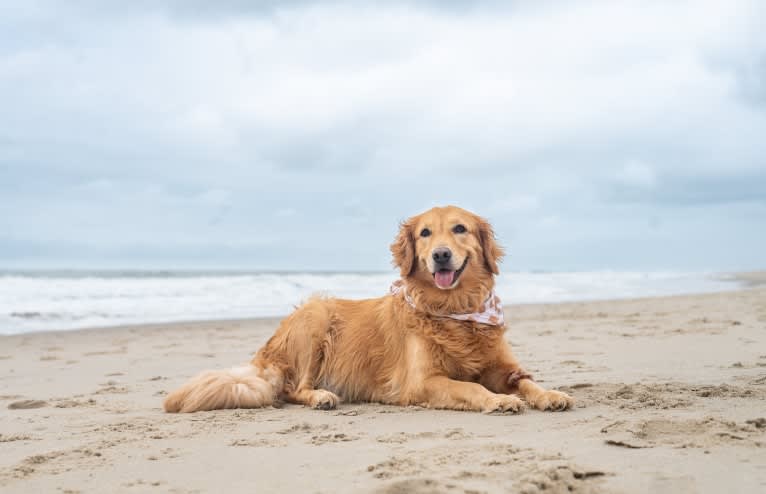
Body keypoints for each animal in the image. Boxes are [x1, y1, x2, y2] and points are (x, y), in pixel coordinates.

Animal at [165, 206, 572, 414]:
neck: (455, 309)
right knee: (293, 390)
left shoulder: (503, 368)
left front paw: (549, 395)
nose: (441, 255)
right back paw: (321, 397)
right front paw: (499, 400)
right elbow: (470, 387)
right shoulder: (422, 382)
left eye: (460, 229)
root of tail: (265, 355)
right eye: (425, 233)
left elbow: (526, 381)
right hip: (314, 316)